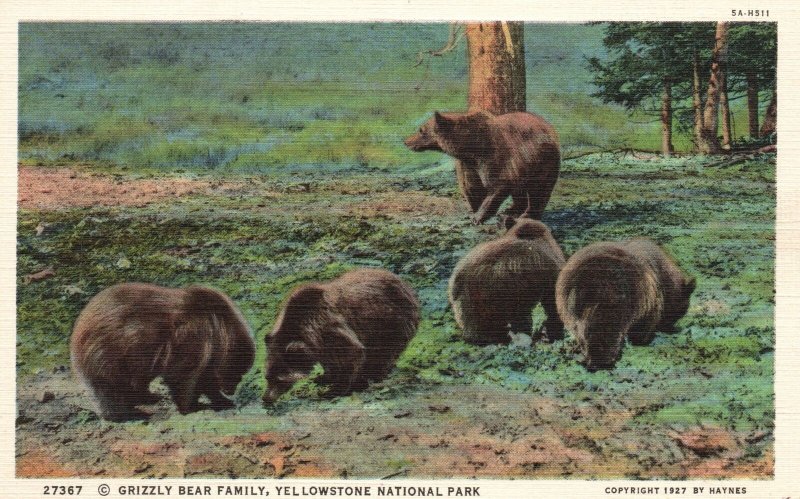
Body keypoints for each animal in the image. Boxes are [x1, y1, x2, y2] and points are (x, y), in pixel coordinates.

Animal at [71, 284, 255, 420]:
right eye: (237, 371)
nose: (232, 390)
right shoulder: (193, 335)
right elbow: (181, 374)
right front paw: (190, 406)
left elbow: (204, 379)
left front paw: (223, 401)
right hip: (110, 351)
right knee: (110, 386)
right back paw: (127, 412)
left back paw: (148, 397)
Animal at [266, 268, 422, 404]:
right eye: (267, 376)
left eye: (279, 379)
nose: (265, 399)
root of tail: (406, 285)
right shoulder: (319, 343)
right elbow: (329, 361)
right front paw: (323, 377)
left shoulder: (327, 327)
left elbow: (352, 353)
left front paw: (332, 391)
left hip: (391, 321)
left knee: (384, 353)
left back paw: (371, 377)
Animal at [404, 112, 560, 227]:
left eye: (421, 130)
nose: (406, 141)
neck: (472, 146)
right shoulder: (470, 165)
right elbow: (473, 187)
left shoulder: (496, 156)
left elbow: (498, 185)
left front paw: (478, 217)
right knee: (521, 190)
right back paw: (512, 209)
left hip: (541, 162)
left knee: (539, 190)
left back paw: (528, 214)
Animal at [552, 238, 696, 372]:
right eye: (682, 310)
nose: (673, 328)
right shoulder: (649, 300)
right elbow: (644, 325)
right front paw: (642, 340)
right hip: (613, 297)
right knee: (606, 328)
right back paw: (602, 359)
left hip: (569, 305)